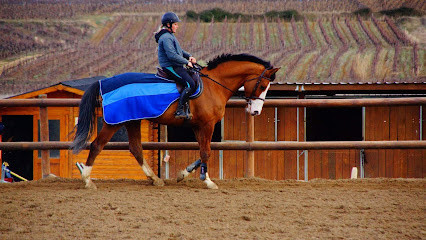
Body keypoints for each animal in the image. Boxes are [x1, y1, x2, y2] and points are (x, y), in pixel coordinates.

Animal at [70, 53, 280, 189]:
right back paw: (87, 180)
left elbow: (204, 151)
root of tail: (105, 82)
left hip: (132, 120)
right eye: (262, 85)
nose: (255, 111)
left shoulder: (198, 126)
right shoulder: (207, 125)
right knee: (97, 145)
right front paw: (208, 181)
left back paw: (155, 179)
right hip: (114, 122)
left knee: (136, 149)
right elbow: (206, 152)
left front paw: (184, 174)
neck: (214, 85)